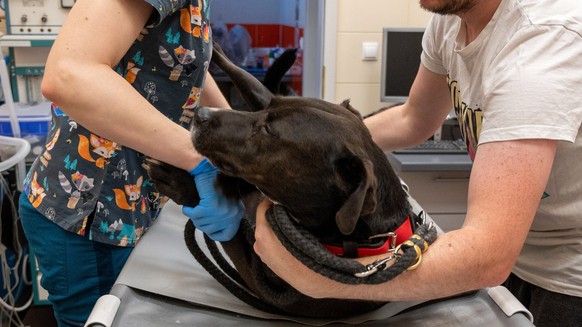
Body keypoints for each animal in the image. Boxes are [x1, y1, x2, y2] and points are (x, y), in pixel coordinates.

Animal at [145, 43, 428, 318]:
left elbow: (230, 230)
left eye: (269, 130)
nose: (200, 114)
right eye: (265, 115)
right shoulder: (267, 100)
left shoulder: (262, 285)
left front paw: (182, 185)